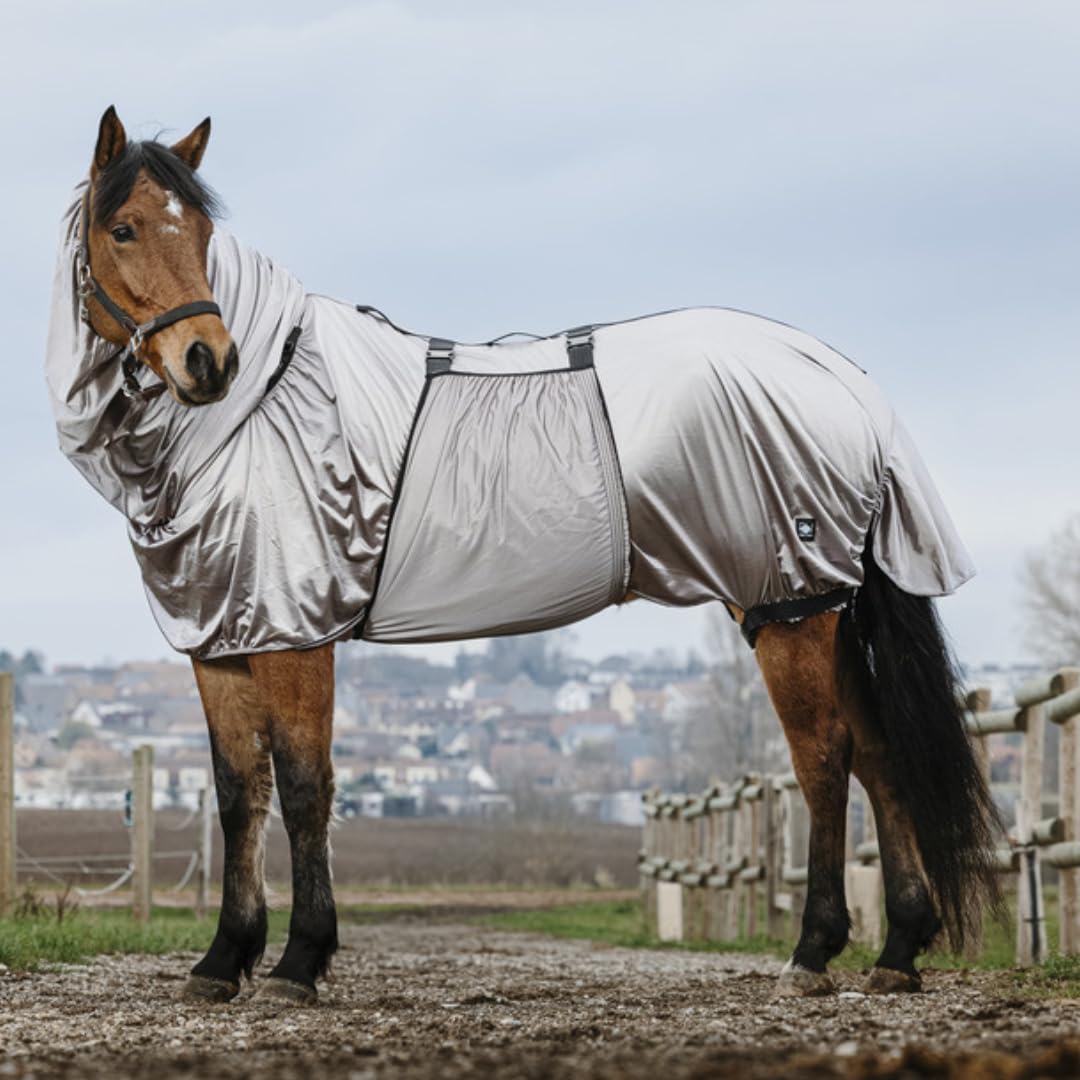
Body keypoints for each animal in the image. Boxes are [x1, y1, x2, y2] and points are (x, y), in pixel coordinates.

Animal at [52, 105, 1001, 1006]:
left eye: (204, 234)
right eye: (124, 228)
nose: (208, 361)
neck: (264, 406)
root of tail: (844, 382)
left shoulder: (296, 632)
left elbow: (305, 787)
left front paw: (298, 962)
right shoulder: (223, 635)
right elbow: (236, 794)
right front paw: (223, 960)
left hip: (787, 603)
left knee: (825, 759)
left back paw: (813, 952)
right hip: (818, 603)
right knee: (878, 753)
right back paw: (898, 950)